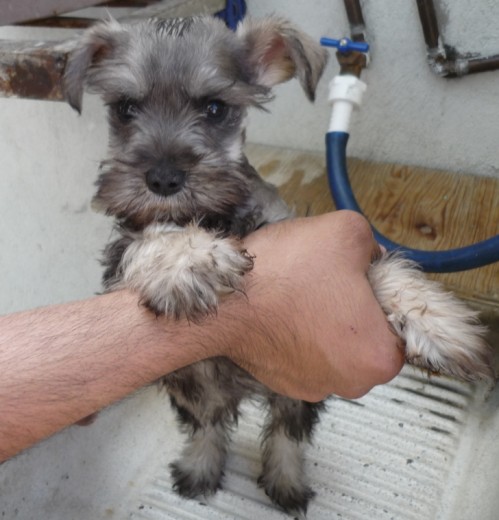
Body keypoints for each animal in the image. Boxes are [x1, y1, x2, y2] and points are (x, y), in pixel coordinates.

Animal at [64, 15, 494, 516]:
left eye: (215, 108)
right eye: (126, 108)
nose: (164, 179)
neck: (216, 214)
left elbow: (378, 268)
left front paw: (440, 322)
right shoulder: (119, 257)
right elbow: (149, 237)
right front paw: (188, 258)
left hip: (296, 393)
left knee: (287, 433)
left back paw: (286, 481)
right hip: (193, 384)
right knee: (209, 424)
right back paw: (200, 469)